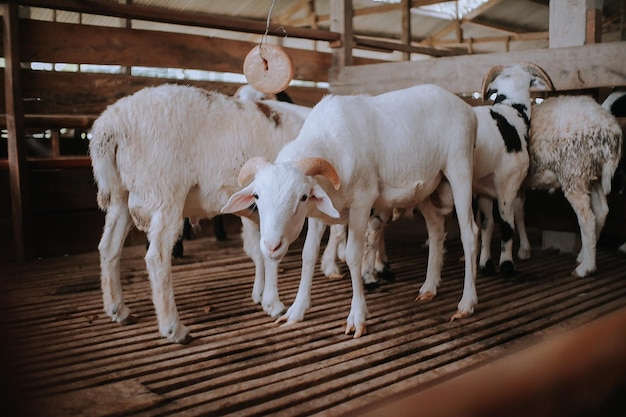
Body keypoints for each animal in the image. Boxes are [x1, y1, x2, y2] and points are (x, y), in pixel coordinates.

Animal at [88, 83, 310, 342]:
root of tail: (109, 125)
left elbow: (260, 250)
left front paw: (262, 297)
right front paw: (274, 304)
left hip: (120, 194)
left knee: (109, 247)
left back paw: (117, 309)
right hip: (164, 192)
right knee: (157, 257)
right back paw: (173, 328)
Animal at [221, 83, 478, 336]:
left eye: (302, 197)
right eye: (257, 195)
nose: (271, 246)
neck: (329, 140)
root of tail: (467, 108)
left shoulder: (362, 202)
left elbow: (355, 255)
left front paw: (357, 317)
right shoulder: (319, 212)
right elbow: (308, 254)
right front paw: (296, 310)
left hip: (460, 167)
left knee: (470, 234)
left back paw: (466, 303)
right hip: (427, 186)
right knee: (436, 229)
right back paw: (429, 287)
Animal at [512, 94, 620, 276]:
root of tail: (611, 130)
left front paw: (522, 249)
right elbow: (519, 211)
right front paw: (524, 249)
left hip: (574, 172)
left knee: (587, 218)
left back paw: (586, 268)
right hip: (591, 176)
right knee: (602, 212)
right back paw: (584, 255)